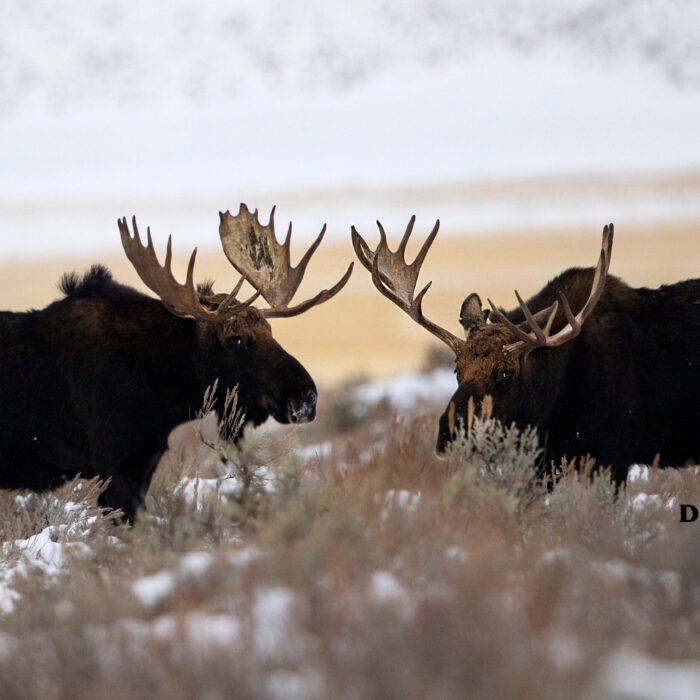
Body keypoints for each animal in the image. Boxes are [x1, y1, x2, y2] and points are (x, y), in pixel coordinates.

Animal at [0, 204, 353, 520]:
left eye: (270, 330)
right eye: (236, 339)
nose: (306, 396)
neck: (164, 393)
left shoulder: (143, 466)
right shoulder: (117, 468)